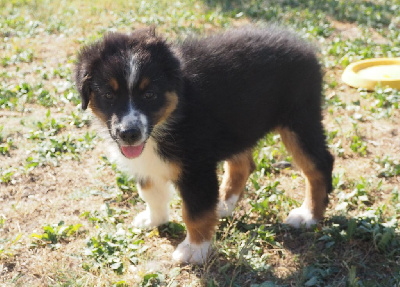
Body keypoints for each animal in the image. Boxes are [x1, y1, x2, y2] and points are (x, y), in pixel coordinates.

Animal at [75, 27, 334, 266]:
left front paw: (194, 250)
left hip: (299, 118)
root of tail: (303, 45)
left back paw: (308, 215)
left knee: (319, 164)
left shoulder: (196, 168)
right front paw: (154, 219)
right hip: (240, 124)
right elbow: (151, 192)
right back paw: (223, 204)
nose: (129, 134)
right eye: (108, 95)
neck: (172, 116)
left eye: (150, 94)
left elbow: (195, 213)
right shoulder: (147, 162)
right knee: (243, 165)